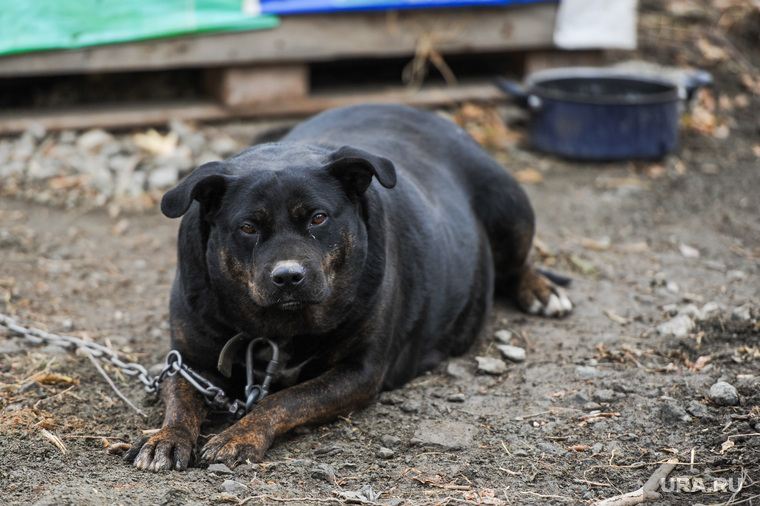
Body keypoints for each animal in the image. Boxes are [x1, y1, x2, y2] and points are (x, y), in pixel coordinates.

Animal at [126, 103, 568, 470]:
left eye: (318, 218)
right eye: (248, 227)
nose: (288, 276)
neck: (279, 329)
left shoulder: (360, 372)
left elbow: (284, 399)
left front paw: (239, 435)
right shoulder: (187, 361)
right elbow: (180, 401)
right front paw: (166, 437)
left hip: (510, 208)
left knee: (517, 264)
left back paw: (542, 291)